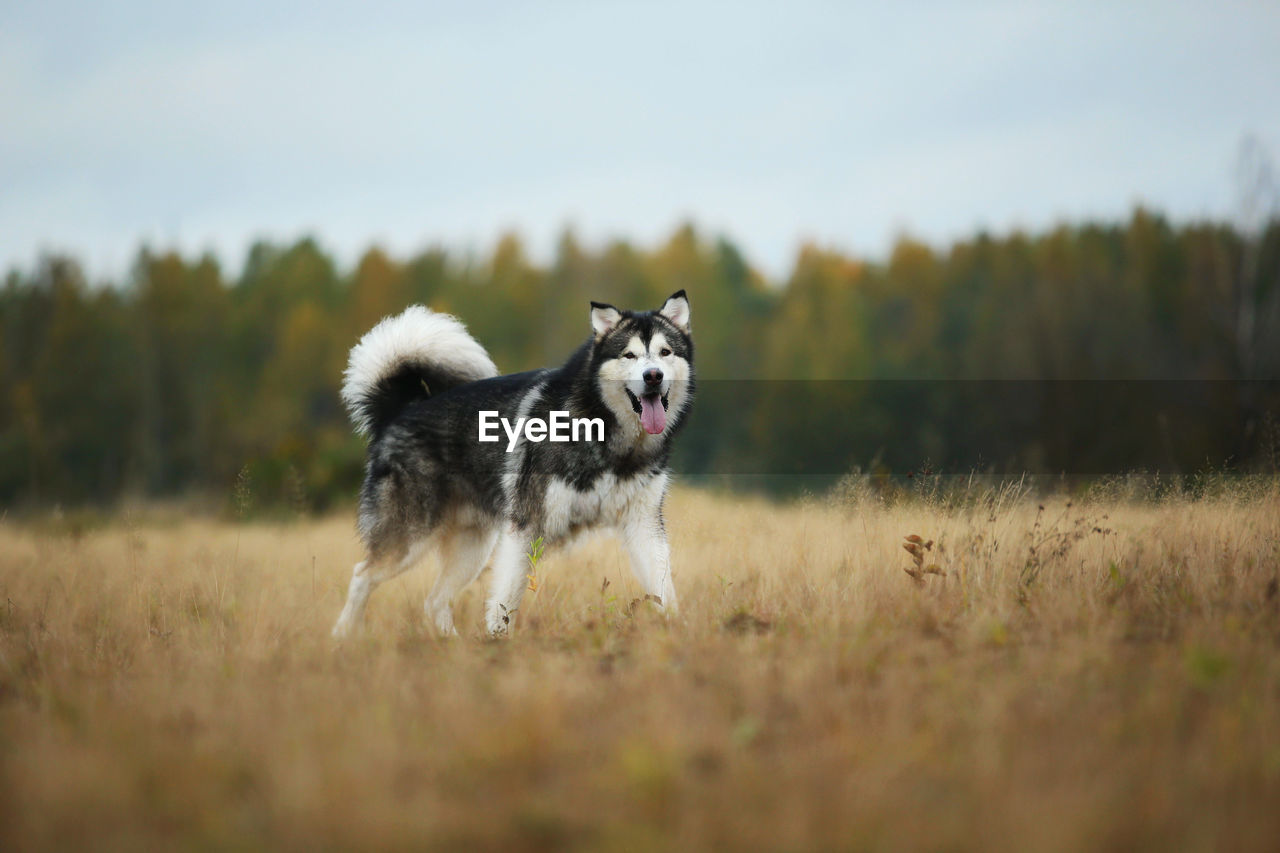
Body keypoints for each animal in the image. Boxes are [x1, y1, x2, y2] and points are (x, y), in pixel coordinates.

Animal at [330, 289, 691, 635]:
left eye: (665, 353)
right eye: (629, 355)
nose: (654, 376)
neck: (606, 434)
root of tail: (401, 409)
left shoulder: (643, 525)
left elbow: (665, 590)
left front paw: (676, 632)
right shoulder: (526, 527)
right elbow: (505, 600)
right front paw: (498, 644)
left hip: (472, 549)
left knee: (434, 602)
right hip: (409, 539)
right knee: (362, 576)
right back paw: (343, 636)